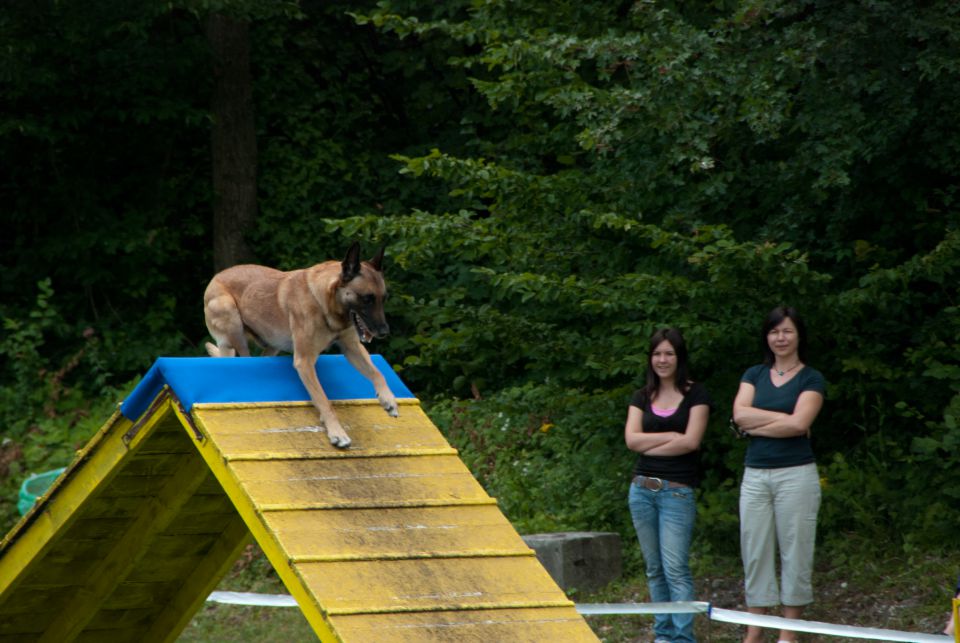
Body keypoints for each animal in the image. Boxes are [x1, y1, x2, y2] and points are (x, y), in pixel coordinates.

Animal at [202, 242, 398, 448]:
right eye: (367, 298)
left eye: (383, 298)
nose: (384, 332)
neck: (325, 302)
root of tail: (216, 277)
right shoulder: (304, 361)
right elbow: (323, 399)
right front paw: (337, 433)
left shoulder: (352, 348)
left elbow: (378, 372)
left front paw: (388, 400)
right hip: (231, 319)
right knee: (242, 358)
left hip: (273, 344)